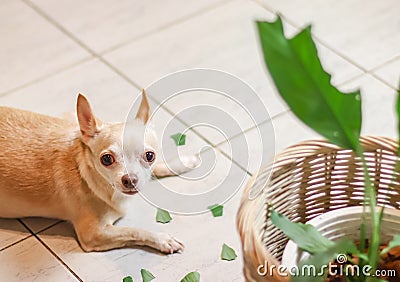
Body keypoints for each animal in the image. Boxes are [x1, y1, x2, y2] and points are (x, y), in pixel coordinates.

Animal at [0, 92, 195, 253]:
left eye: (149, 156)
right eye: (107, 159)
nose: (130, 179)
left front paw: (182, 162)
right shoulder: (94, 234)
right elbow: (133, 231)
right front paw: (162, 239)